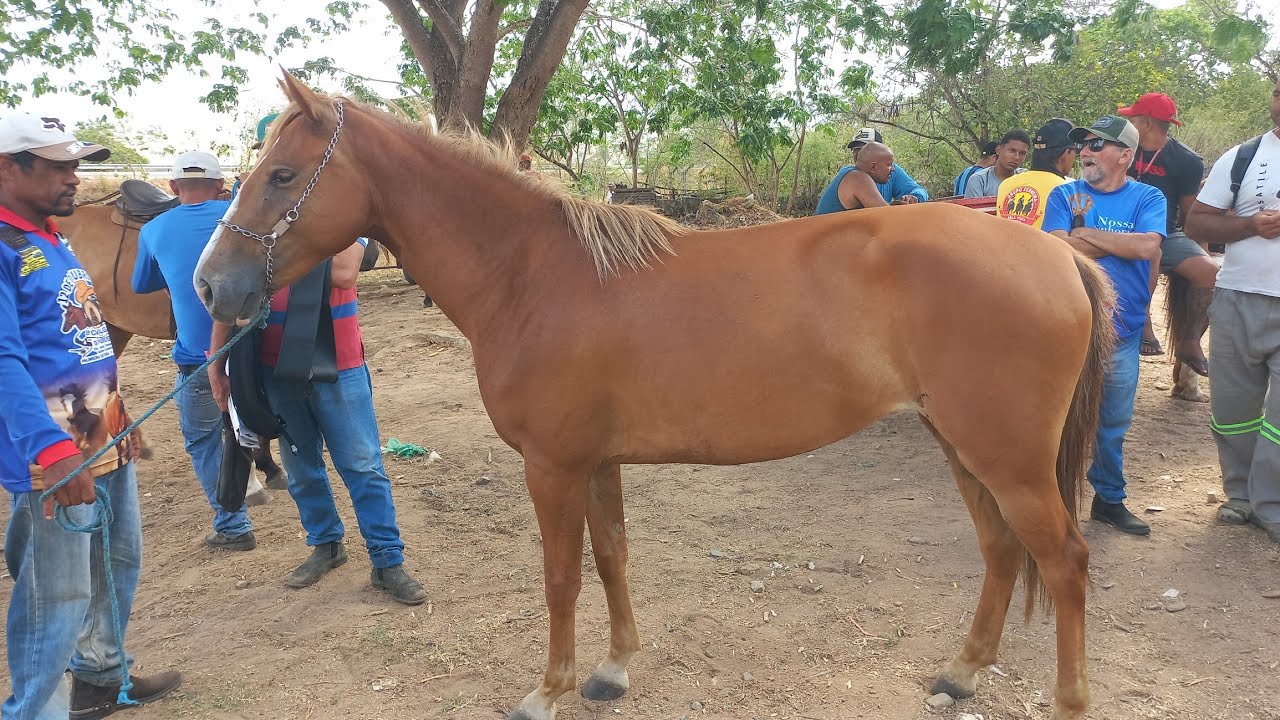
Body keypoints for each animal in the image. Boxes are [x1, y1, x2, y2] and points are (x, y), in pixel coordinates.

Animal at [196, 75, 1115, 720]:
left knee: (1065, 562)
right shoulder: (595, 463)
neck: (533, 274)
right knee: (1001, 552)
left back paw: (1068, 699)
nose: (211, 286)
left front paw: (548, 689)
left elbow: (560, 577)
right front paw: (611, 670)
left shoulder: (552, 467)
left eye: (281, 175)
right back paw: (961, 673)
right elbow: (611, 559)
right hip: (962, 444)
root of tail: (1055, 254)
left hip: (1006, 458)